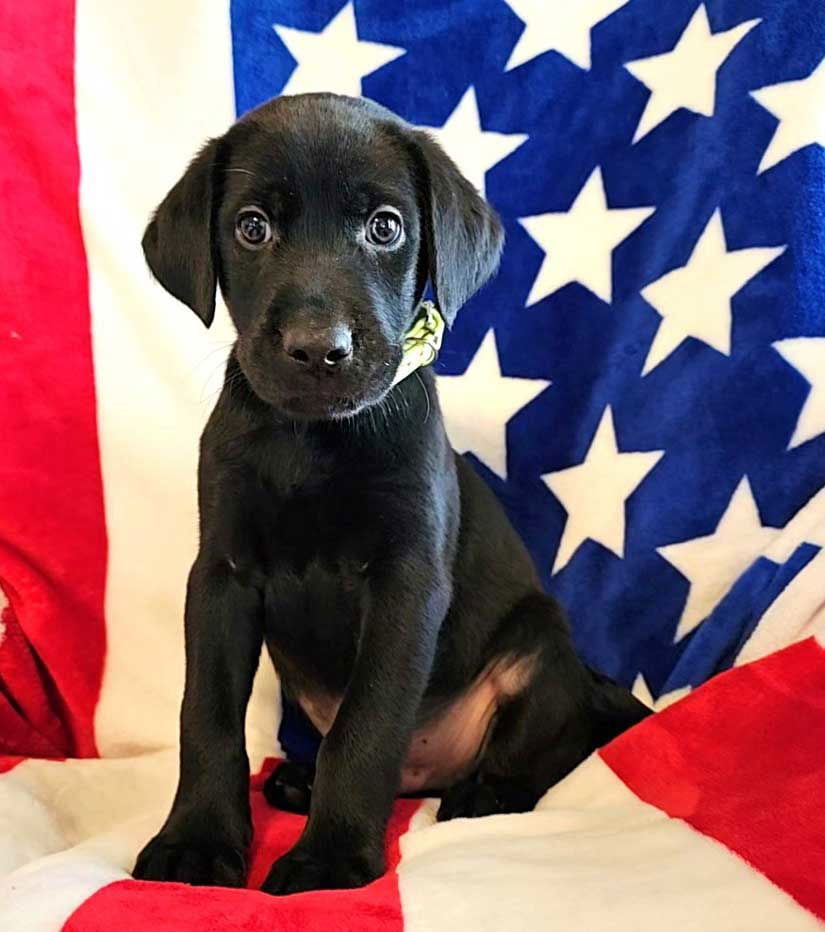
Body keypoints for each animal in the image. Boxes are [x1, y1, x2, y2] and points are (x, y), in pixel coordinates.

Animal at [134, 94, 652, 896]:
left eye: (385, 227)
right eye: (252, 227)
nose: (318, 348)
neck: (310, 442)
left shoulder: (406, 582)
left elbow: (366, 723)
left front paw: (329, 860)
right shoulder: (220, 576)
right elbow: (209, 717)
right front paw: (196, 841)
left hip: (536, 644)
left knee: (550, 751)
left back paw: (484, 793)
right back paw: (298, 782)